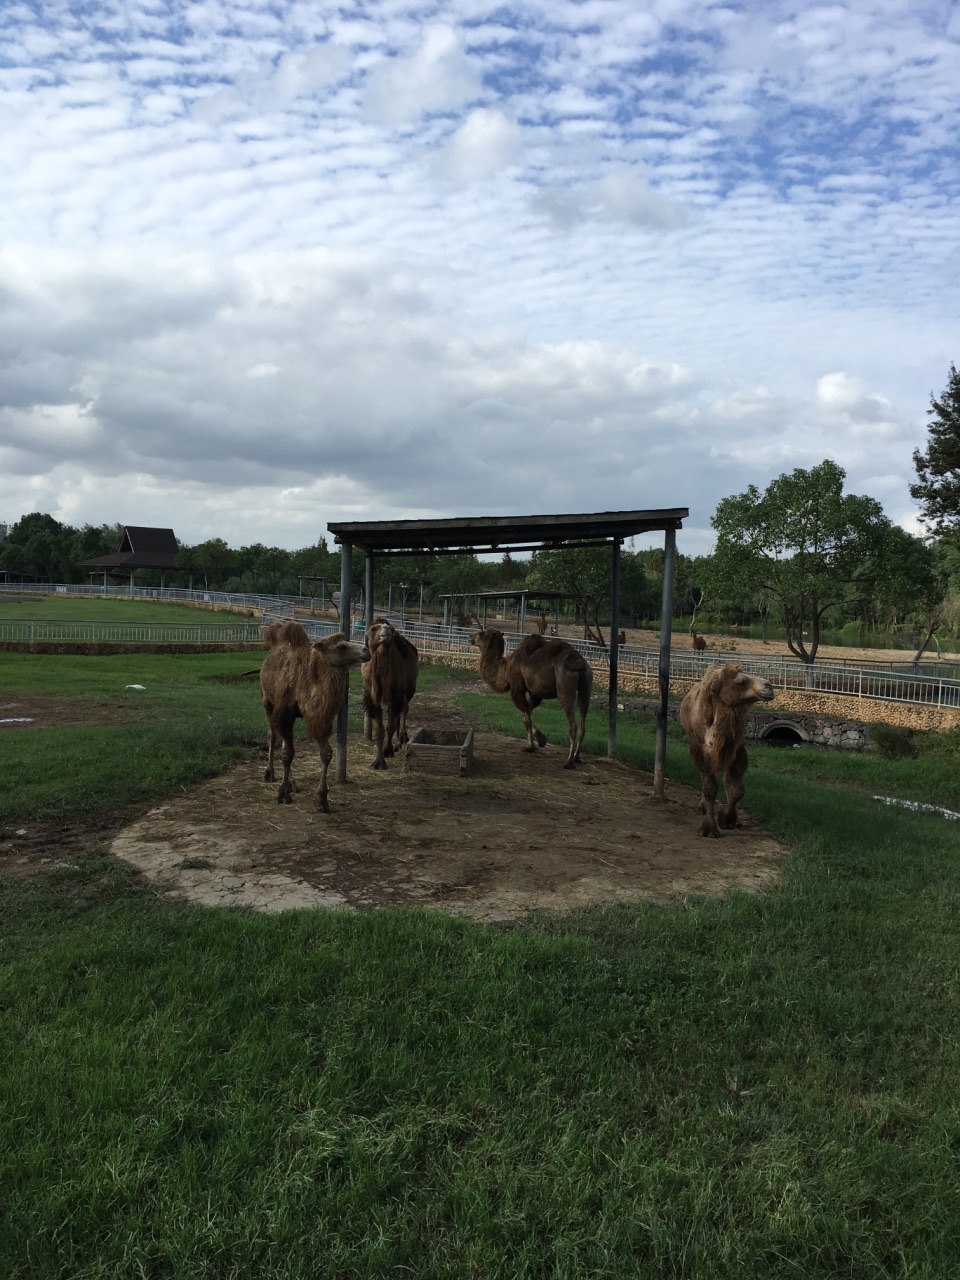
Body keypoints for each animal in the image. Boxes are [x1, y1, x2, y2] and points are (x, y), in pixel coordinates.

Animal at [261, 619, 371, 808]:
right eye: (341, 646)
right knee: (273, 735)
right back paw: (270, 773)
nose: (366, 651)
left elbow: (326, 753)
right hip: (267, 701)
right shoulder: (284, 714)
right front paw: (282, 794)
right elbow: (287, 754)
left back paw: (292, 783)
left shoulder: (320, 717)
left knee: (282, 741)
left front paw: (322, 797)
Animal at [363, 619, 419, 768]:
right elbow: (380, 730)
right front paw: (378, 761)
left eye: (391, 628)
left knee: (404, 709)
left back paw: (401, 739)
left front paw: (387, 751)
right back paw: (397, 743)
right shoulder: (373, 697)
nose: (387, 628)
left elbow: (389, 727)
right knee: (398, 714)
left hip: (409, 688)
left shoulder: (394, 695)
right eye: (373, 628)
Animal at [473, 624, 593, 762]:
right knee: (583, 715)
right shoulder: (536, 692)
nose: (470, 637)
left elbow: (525, 712)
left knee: (572, 721)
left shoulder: (517, 685)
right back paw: (577, 758)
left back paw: (569, 761)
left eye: (481, 633)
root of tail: (579, 662)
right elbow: (528, 713)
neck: (505, 668)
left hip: (564, 684)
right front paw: (541, 739)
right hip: (587, 683)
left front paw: (530, 746)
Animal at [680, 660, 778, 839]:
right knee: (704, 777)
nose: (769, 686)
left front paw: (727, 820)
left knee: (726, 779)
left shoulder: (736, 748)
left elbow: (737, 789)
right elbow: (710, 788)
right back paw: (701, 807)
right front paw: (709, 829)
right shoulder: (701, 750)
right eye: (740, 682)